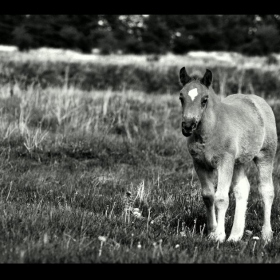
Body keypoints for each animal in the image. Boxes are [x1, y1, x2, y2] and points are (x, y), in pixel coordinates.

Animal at [179, 66, 278, 242]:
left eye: (204, 99)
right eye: (181, 97)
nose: (188, 126)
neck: (211, 130)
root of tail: (258, 100)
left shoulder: (225, 162)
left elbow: (221, 197)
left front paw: (219, 235)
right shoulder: (199, 163)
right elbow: (208, 196)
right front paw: (212, 230)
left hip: (265, 155)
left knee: (266, 190)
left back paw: (266, 234)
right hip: (238, 162)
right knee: (242, 188)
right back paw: (235, 236)